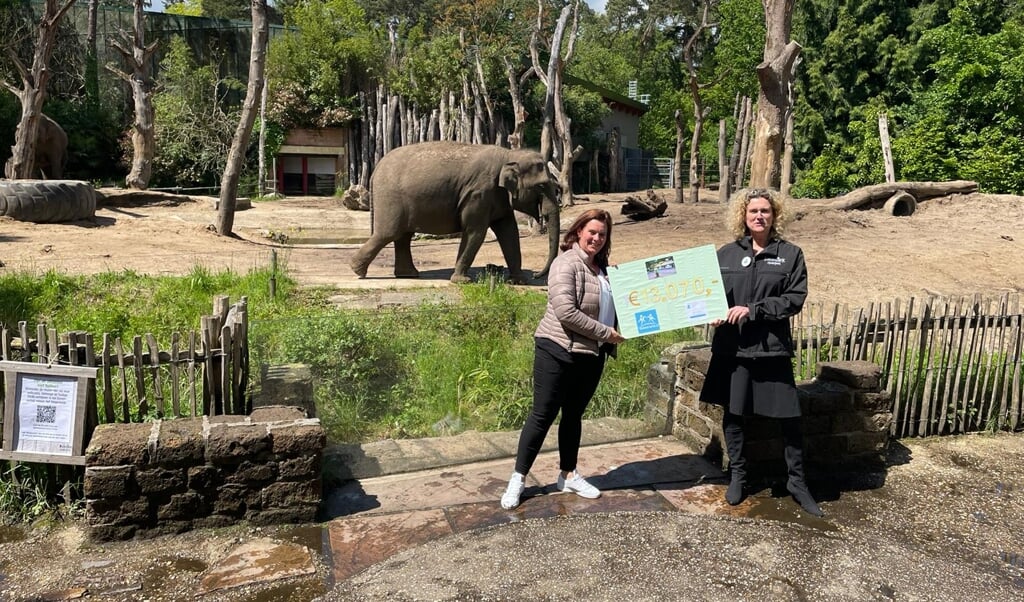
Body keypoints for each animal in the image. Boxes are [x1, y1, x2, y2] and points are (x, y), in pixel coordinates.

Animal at [350, 141, 561, 284]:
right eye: (542, 186)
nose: (537, 275)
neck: (509, 155)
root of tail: (375, 169)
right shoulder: (479, 193)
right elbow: (475, 232)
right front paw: (462, 281)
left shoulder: (498, 198)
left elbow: (509, 232)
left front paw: (519, 281)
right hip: (390, 199)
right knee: (388, 233)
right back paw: (357, 271)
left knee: (403, 236)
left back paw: (408, 275)